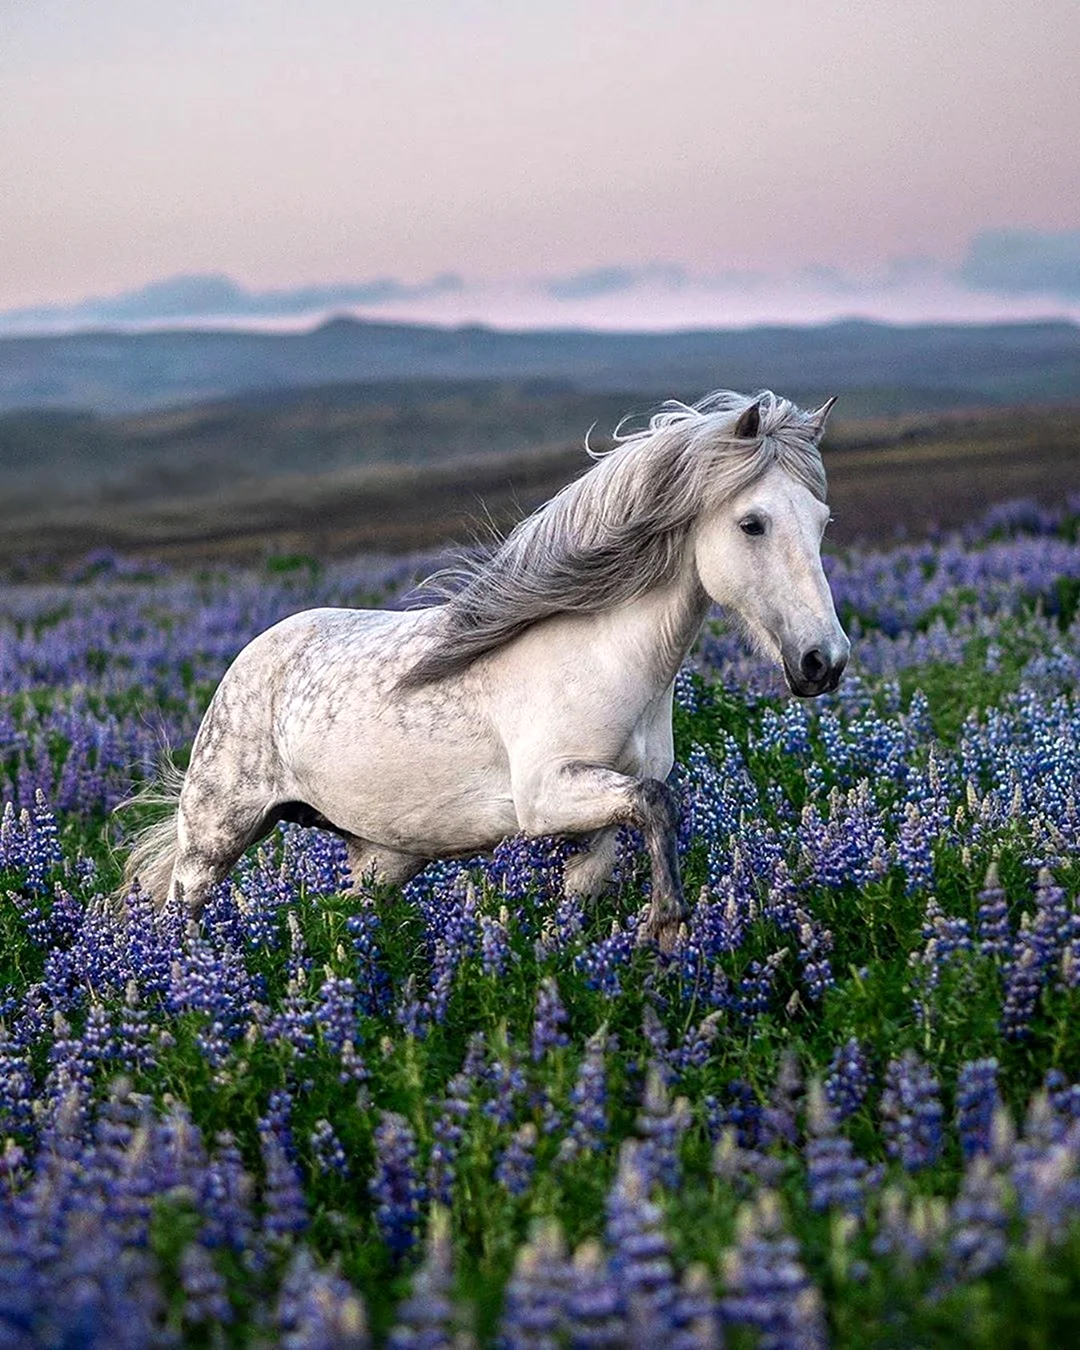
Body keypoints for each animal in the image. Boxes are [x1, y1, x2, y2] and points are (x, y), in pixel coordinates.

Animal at [126, 391, 847, 950]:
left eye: (823, 522)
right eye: (751, 524)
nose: (824, 661)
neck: (607, 658)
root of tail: (252, 655)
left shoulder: (593, 819)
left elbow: (605, 864)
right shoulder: (546, 795)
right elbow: (658, 803)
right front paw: (667, 923)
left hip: (384, 856)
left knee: (346, 915)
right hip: (215, 835)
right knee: (174, 913)